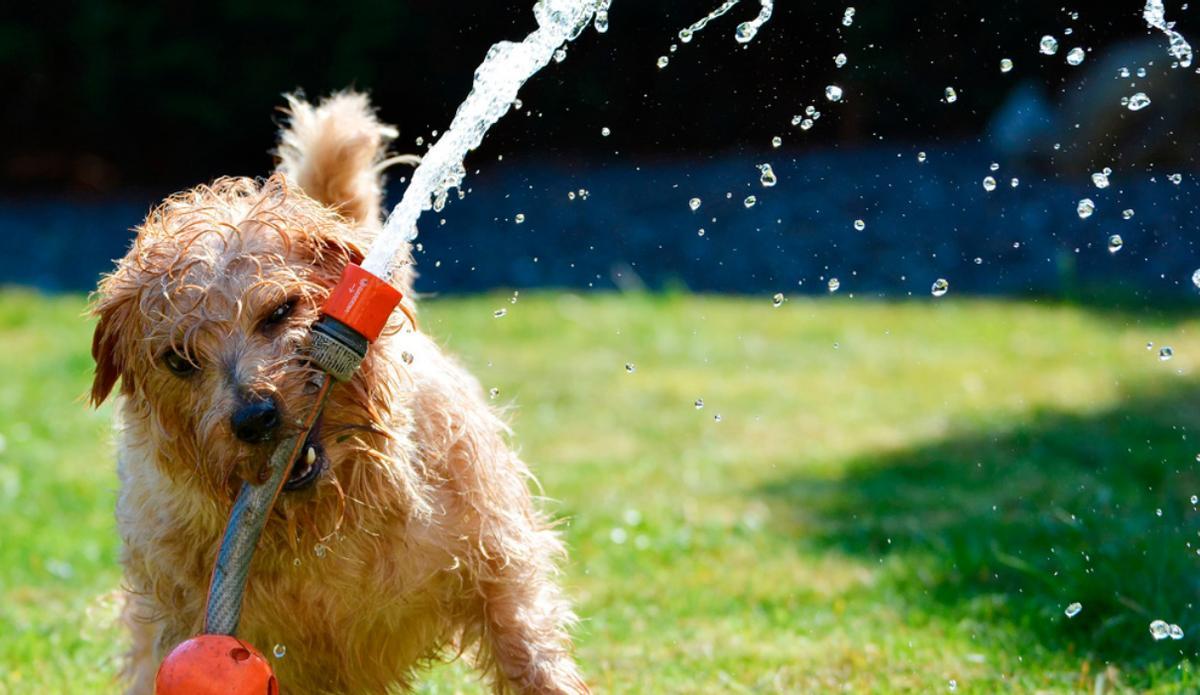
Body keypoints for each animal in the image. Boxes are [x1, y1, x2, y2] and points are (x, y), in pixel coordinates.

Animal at [87, 93, 585, 695]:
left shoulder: (498, 570)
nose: (255, 417)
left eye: (280, 310)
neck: (327, 520)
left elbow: (530, 653)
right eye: (179, 361)